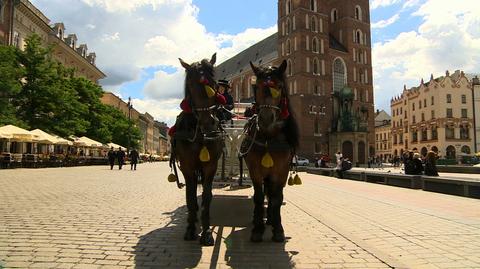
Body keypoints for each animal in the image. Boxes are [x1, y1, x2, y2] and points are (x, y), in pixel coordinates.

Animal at [172, 53, 224, 246]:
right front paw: (190, 228)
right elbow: (190, 196)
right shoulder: (187, 167)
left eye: (214, 83)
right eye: (192, 86)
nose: (209, 123)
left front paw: (207, 232)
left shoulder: (210, 167)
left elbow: (207, 198)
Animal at [242, 59, 298, 242]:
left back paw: (272, 220)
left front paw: (278, 229)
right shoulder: (255, 170)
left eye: (279, 86)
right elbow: (258, 197)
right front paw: (258, 229)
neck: (268, 137)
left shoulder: (282, 171)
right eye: (257, 86)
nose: (266, 119)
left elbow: (277, 198)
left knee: (272, 194)